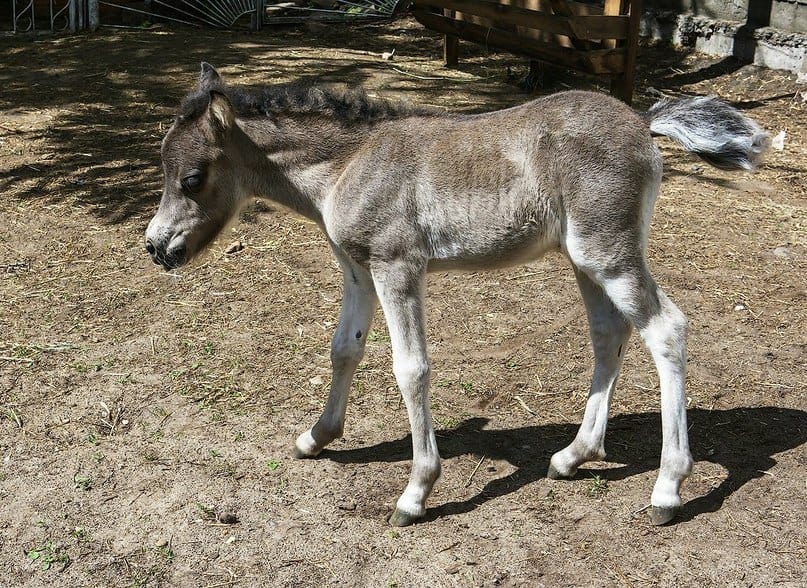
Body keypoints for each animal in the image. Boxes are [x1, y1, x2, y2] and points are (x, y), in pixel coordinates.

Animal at [147, 64, 772, 528]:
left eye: (193, 178)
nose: (156, 247)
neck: (350, 163)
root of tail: (643, 120)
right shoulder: (357, 270)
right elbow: (344, 349)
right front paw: (317, 437)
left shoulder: (397, 265)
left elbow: (411, 369)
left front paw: (415, 492)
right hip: (583, 259)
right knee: (609, 334)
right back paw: (574, 456)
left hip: (607, 254)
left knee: (666, 329)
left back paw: (667, 488)